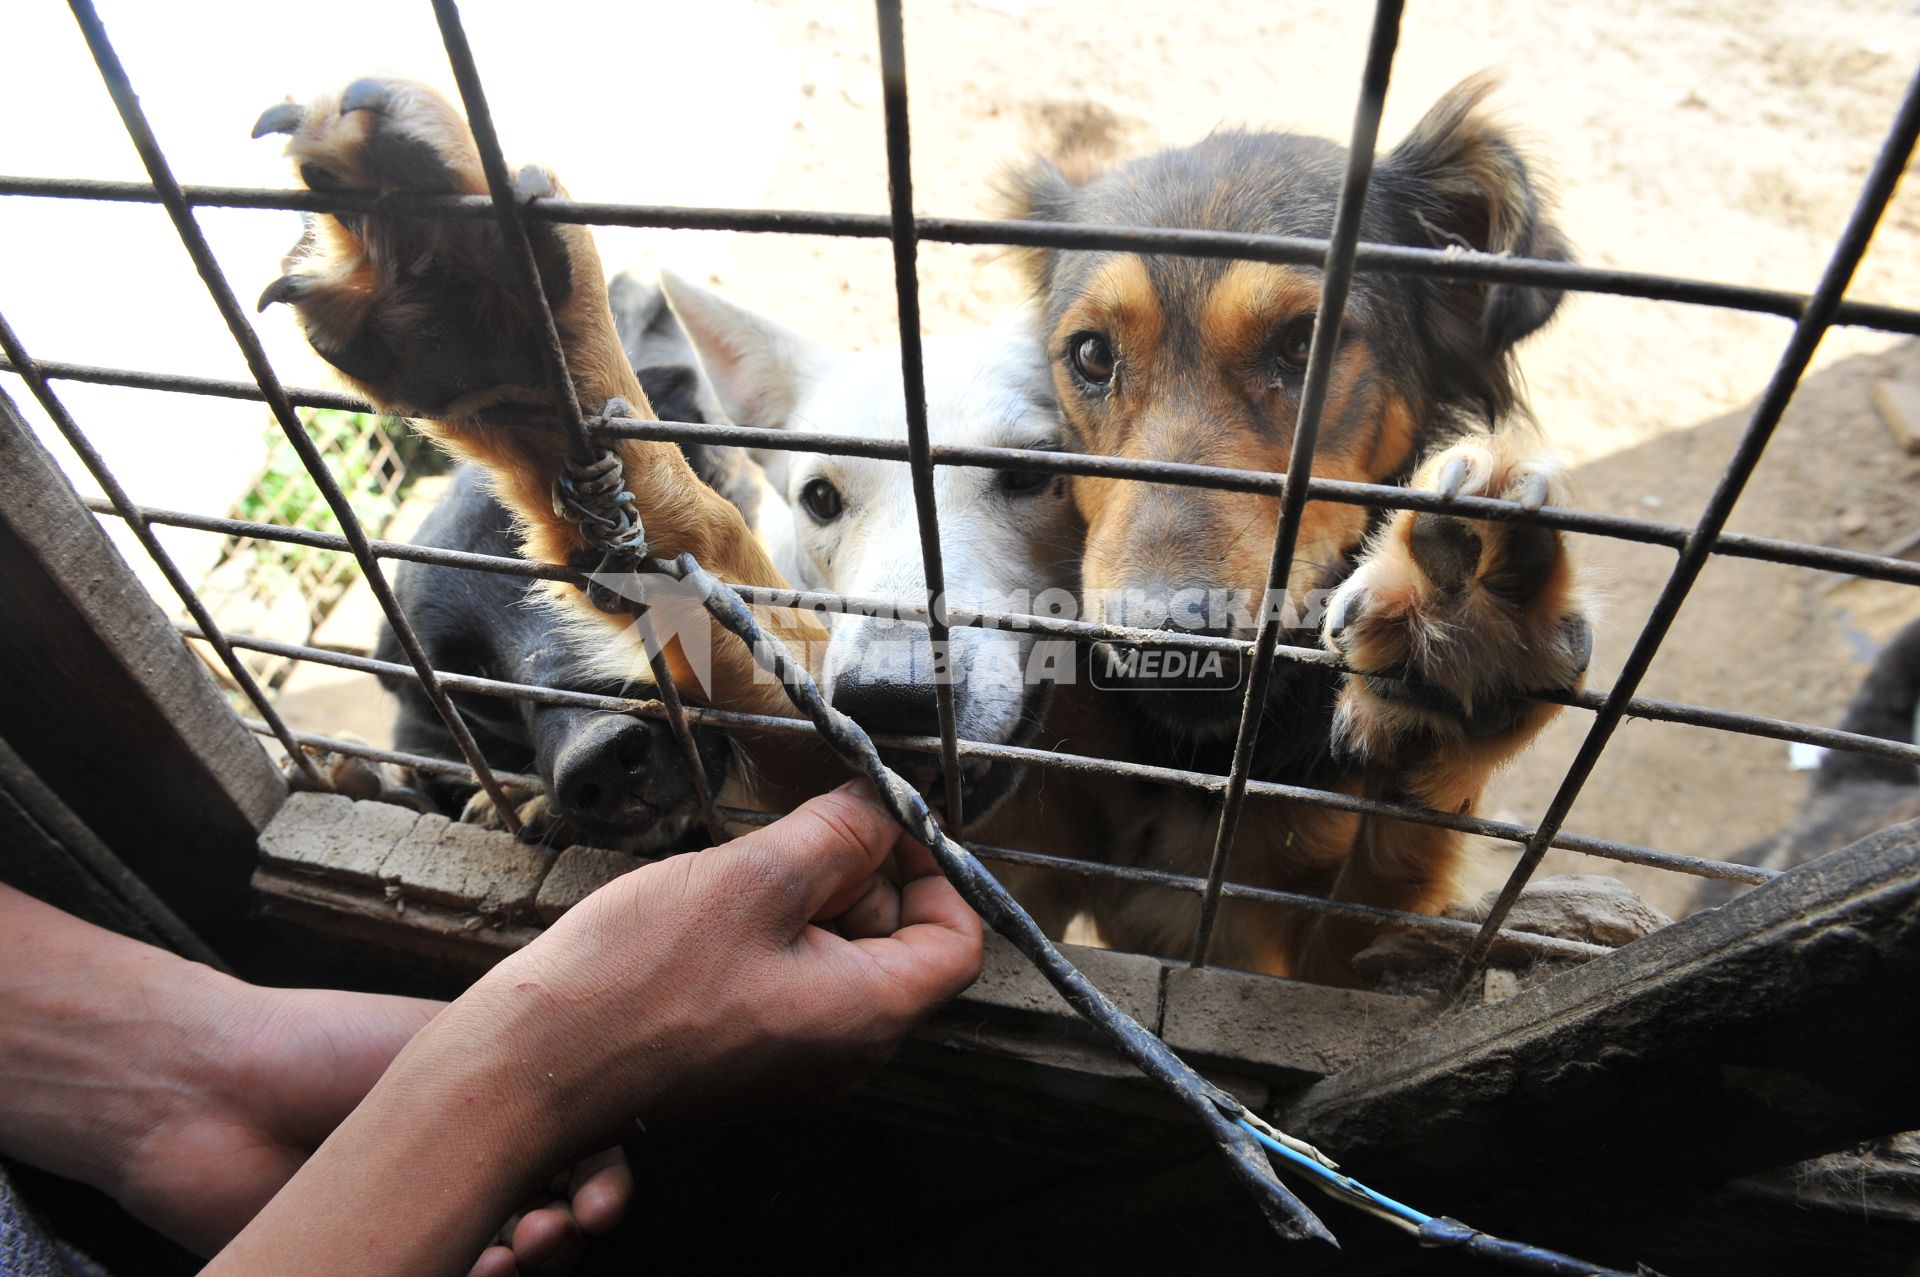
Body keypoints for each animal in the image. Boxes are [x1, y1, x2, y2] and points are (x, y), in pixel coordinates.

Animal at [1006, 77, 1589, 975]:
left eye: (1301, 343)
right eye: (1092, 354)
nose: (1163, 639)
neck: (1191, 753)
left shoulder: (1291, 940)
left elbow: (1393, 871)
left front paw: (1460, 635)